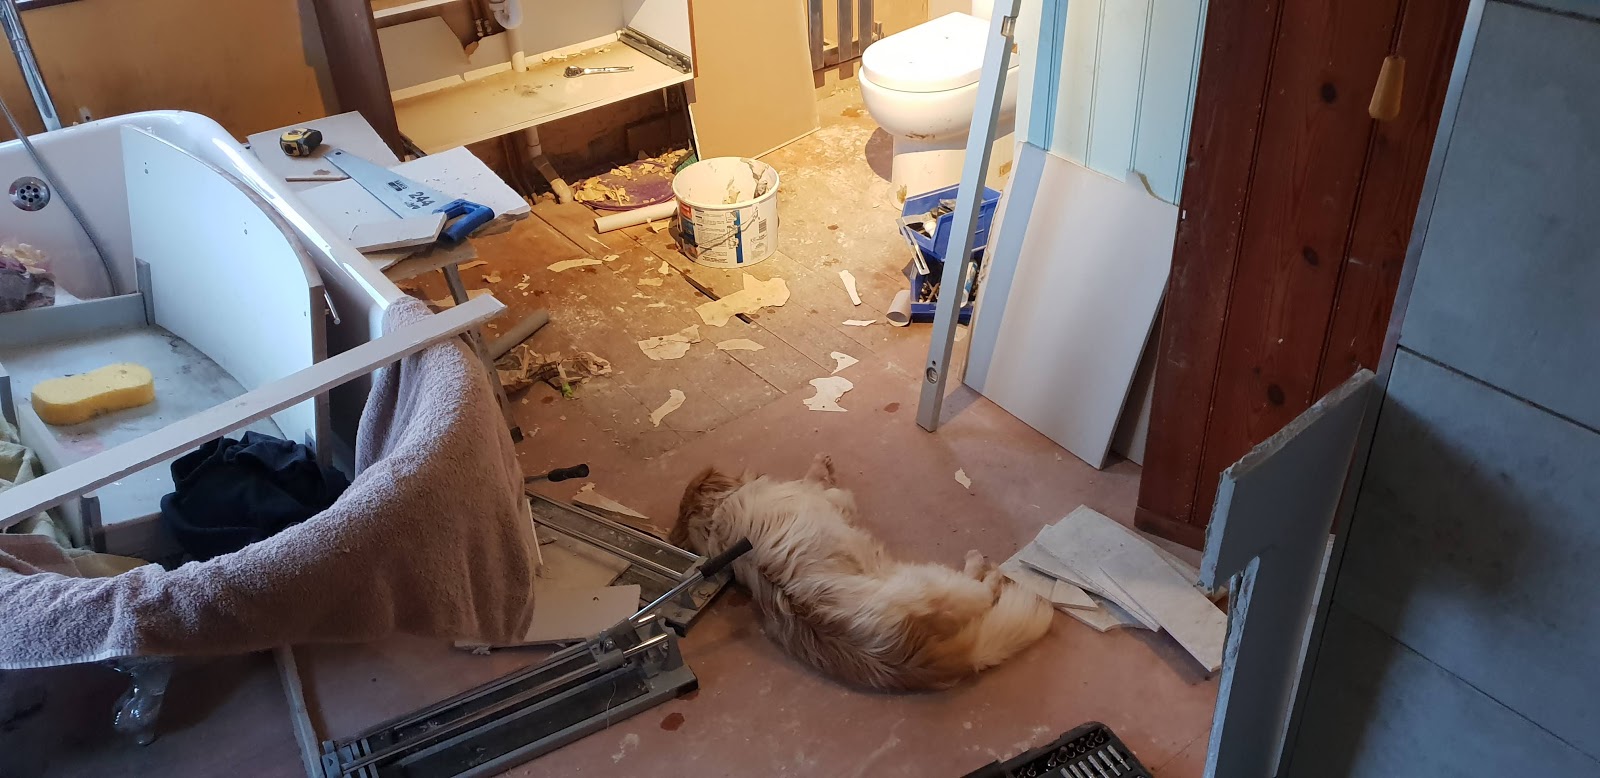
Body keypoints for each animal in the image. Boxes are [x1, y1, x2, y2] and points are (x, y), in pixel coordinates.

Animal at [671, 454, 1053, 691]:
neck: (716, 516)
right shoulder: (825, 497)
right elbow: (817, 481)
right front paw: (821, 465)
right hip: (940, 582)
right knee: (984, 590)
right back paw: (987, 568)